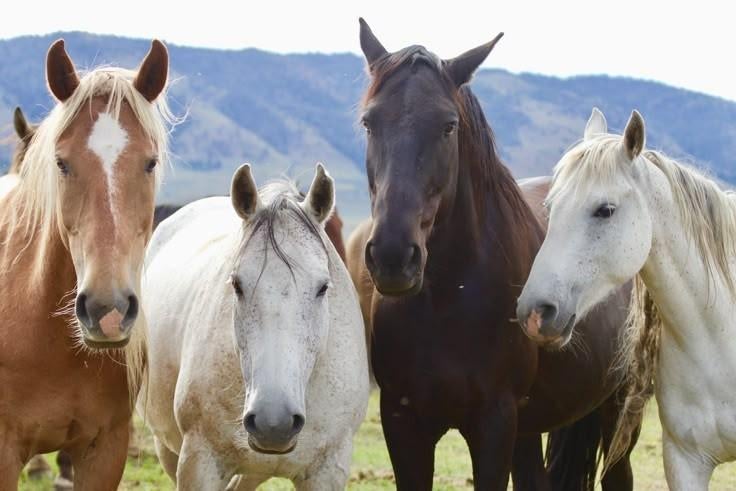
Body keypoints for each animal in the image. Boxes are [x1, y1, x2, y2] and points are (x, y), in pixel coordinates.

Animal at [346, 19, 640, 490]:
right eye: (369, 122)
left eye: (448, 125)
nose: (393, 256)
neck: (449, 299)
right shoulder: (403, 423)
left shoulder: (494, 425)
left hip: (616, 412)